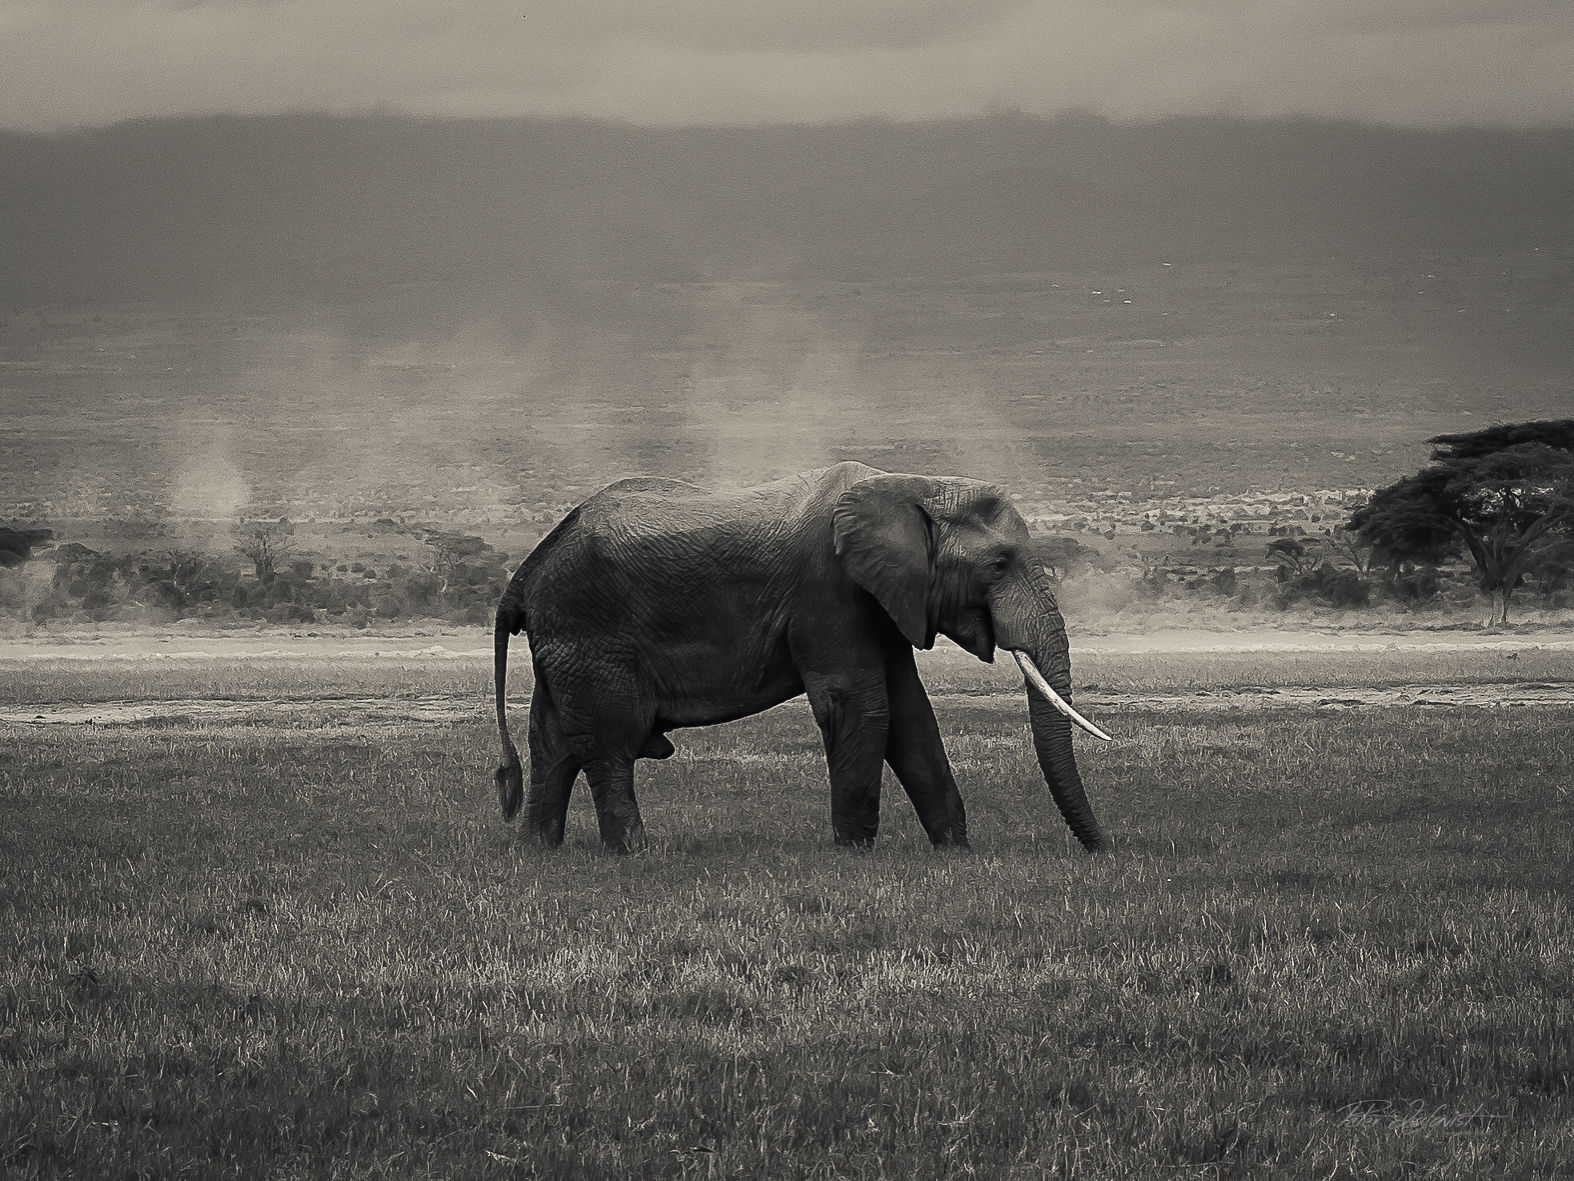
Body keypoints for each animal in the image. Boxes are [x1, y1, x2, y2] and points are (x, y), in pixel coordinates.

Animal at [493, 462, 1110, 853]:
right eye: (1000, 564)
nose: (1108, 849)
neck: (910, 484)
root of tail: (523, 576)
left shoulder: (884, 597)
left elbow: (912, 714)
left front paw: (954, 851)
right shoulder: (829, 589)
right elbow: (860, 704)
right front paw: (855, 852)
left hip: (567, 643)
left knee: (553, 744)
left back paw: (537, 851)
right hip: (591, 635)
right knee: (608, 743)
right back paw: (634, 853)